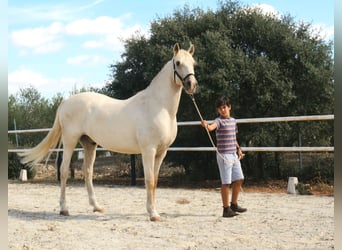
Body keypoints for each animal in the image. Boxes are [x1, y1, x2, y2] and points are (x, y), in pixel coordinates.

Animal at [20, 43, 198, 221]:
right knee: (64, 171)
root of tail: (65, 102)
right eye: (178, 63)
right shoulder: (148, 151)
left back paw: (96, 206)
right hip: (70, 140)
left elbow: (155, 181)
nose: (191, 84)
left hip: (89, 143)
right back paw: (64, 209)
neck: (158, 106)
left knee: (88, 171)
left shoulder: (161, 152)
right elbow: (149, 181)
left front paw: (154, 211)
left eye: (193, 63)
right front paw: (152, 214)